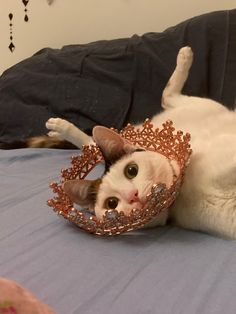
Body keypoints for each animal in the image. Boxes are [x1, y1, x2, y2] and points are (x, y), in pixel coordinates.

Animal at [45, 46, 236, 238]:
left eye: (131, 170)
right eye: (111, 203)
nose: (133, 195)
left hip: (206, 105)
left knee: (166, 96)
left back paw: (185, 55)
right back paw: (59, 128)